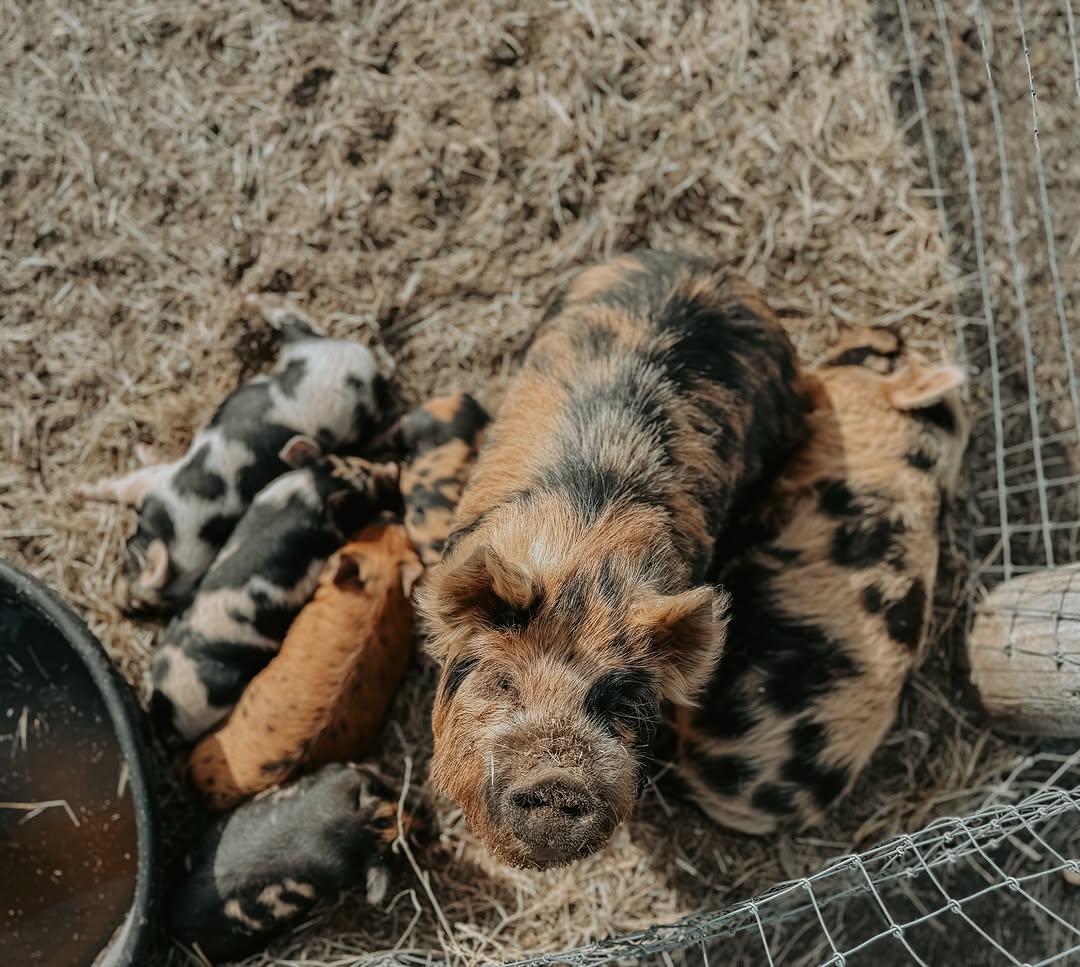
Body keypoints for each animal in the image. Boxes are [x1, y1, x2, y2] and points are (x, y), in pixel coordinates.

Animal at [77, 307, 391, 616]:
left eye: (141, 605)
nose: (119, 606)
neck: (182, 526)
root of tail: (365, 365)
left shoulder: (158, 485)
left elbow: (126, 485)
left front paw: (84, 488)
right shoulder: (162, 482)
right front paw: (87, 485)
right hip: (309, 353)